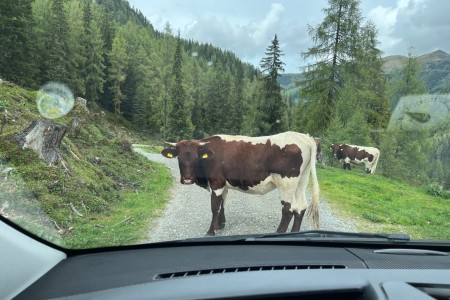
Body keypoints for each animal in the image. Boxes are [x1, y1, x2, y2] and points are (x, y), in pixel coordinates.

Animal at [162, 131, 320, 237]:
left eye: (196, 158)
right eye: (179, 158)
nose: (187, 179)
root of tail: (304, 137)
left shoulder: (216, 182)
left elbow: (214, 207)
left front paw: (211, 231)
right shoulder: (224, 184)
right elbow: (222, 204)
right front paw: (220, 225)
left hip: (286, 183)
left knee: (288, 209)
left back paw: (279, 233)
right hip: (301, 181)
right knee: (300, 207)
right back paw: (294, 233)